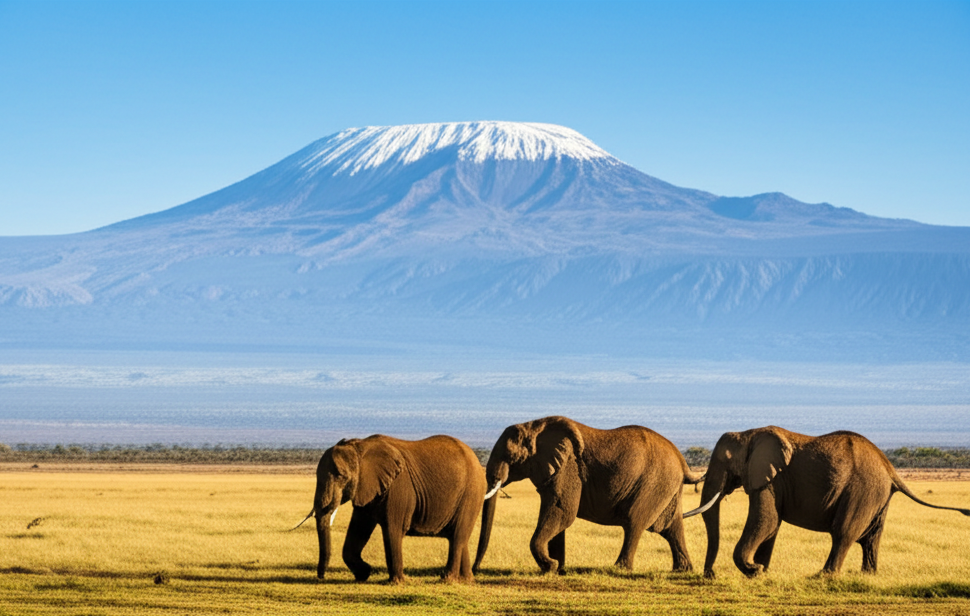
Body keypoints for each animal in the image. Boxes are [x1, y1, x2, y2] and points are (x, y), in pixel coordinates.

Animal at [309, 434, 486, 583]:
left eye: (341, 476)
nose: (321, 577)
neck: (360, 445)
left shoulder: (397, 487)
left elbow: (392, 529)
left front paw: (397, 582)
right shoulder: (367, 489)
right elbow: (359, 529)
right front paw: (364, 574)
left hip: (471, 493)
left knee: (457, 536)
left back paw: (447, 580)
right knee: (460, 537)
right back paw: (467, 580)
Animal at [474, 415, 706, 574]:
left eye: (509, 455)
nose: (476, 569)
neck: (534, 425)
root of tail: (681, 459)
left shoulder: (568, 468)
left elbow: (562, 512)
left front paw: (550, 567)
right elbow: (559, 517)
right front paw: (559, 569)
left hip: (654, 483)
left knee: (634, 522)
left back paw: (619, 569)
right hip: (666, 486)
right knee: (671, 527)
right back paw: (682, 570)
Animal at [699, 426, 970, 578]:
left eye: (725, 460)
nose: (710, 575)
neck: (748, 433)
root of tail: (889, 467)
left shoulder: (771, 478)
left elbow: (766, 521)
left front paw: (753, 571)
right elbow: (771, 526)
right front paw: (762, 572)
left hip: (863, 489)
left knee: (844, 532)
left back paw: (822, 576)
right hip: (877, 495)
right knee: (872, 537)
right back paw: (867, 576)